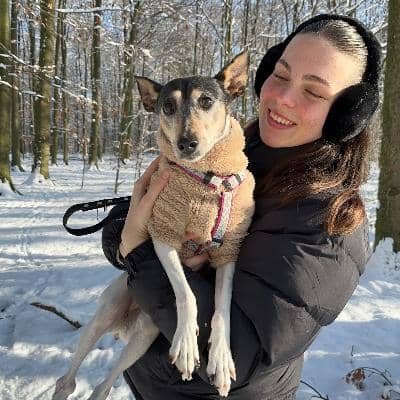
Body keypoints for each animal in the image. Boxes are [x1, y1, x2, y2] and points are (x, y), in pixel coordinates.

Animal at [52, 51, 255, 400]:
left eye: (206, 101)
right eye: (167, 107)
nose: (187, 143)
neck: (207, 179)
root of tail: (129, 320)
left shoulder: (228, 250)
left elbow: (222, 309)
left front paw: (221, 358)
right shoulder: (163, 234)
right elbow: (186, 294)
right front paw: (187, 346)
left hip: (144, 335)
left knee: (103, 387)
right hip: (107, 310)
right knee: (67, 379)